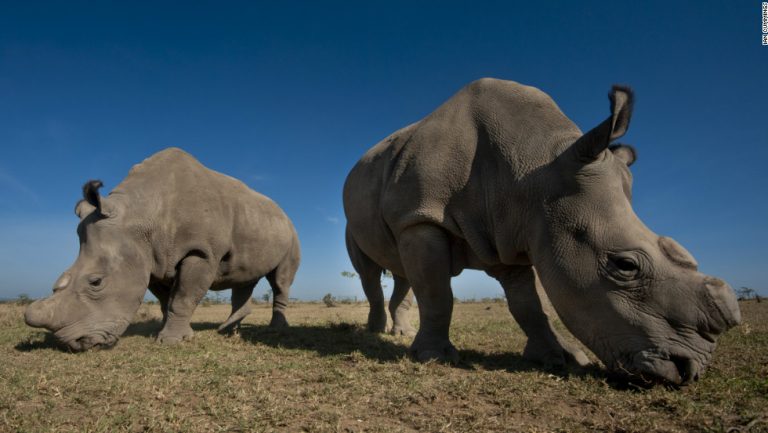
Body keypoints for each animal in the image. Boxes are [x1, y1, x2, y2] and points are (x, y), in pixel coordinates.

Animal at [24, 147, 300, 350]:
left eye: (96, 282)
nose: (73, 343)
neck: (140, 215)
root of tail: (282, 212)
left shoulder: (200, 252)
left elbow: (183, 297)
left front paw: (171, 341)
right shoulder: (151, 259)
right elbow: (166, 300)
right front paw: (164, 332)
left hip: (291, 232)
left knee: (279, 281)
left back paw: (274, 328)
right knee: (244, 278)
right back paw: (228, 331)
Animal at [344, 78, 740, 384]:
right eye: (625, 266)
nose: (690, 370)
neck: (535, 168)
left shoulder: (509, 230)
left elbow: (529, 305)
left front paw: (560, 358)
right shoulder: (421, 218)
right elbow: (438, 294)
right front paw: (434, 358)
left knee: (401, 271)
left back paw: (398, 333)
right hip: (366, 219)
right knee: (371, 272)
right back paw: (375, 333)